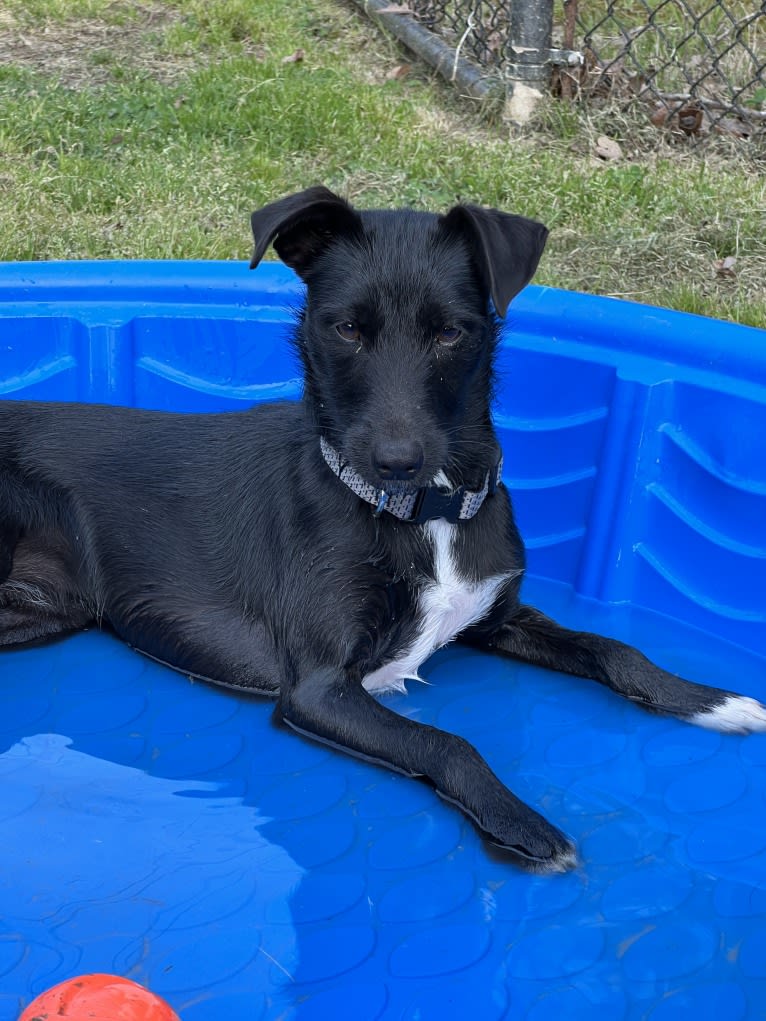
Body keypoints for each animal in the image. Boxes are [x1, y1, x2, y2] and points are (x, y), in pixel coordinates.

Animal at [1, 185, 766, 869]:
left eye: (451, 331)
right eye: (346, 329)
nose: (396, 458)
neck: (423, 513)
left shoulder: (496, 618)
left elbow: (614, 649)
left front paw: (712, 700)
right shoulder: (318, 689)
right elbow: (450, 742)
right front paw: (521, 821)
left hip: (43, 612)